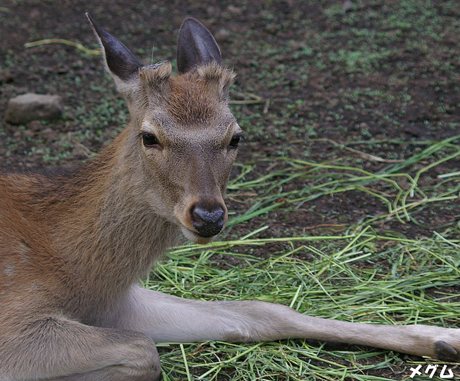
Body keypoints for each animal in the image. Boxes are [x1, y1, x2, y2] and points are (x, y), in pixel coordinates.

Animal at [0, 13, 460, 378]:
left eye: (235, 136)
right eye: (149, 136)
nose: (208, 216)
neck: (74, 271)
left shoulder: (117, 303)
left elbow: (262, 311)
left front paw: (444, 336)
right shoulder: (16, 320)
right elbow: (143, 350)